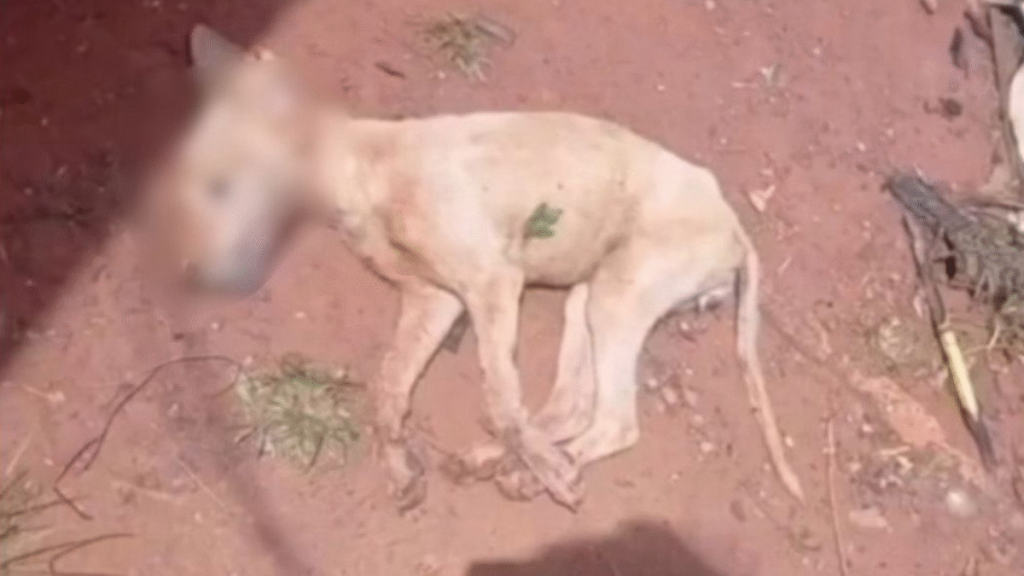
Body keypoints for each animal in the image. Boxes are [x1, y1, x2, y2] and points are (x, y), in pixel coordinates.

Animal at [168, 24, 804, 510]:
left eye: (219, 186)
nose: (193, 276)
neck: (364, 171)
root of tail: (735, 227)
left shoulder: (492, 282)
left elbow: (499, 400)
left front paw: (550, 472)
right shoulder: (433, 300)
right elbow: (389, 389)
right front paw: (399, 468)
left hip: (620, 297)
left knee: (614, 420)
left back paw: (535, 472)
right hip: (588, 299)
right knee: (571, 405)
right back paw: (500, 462)